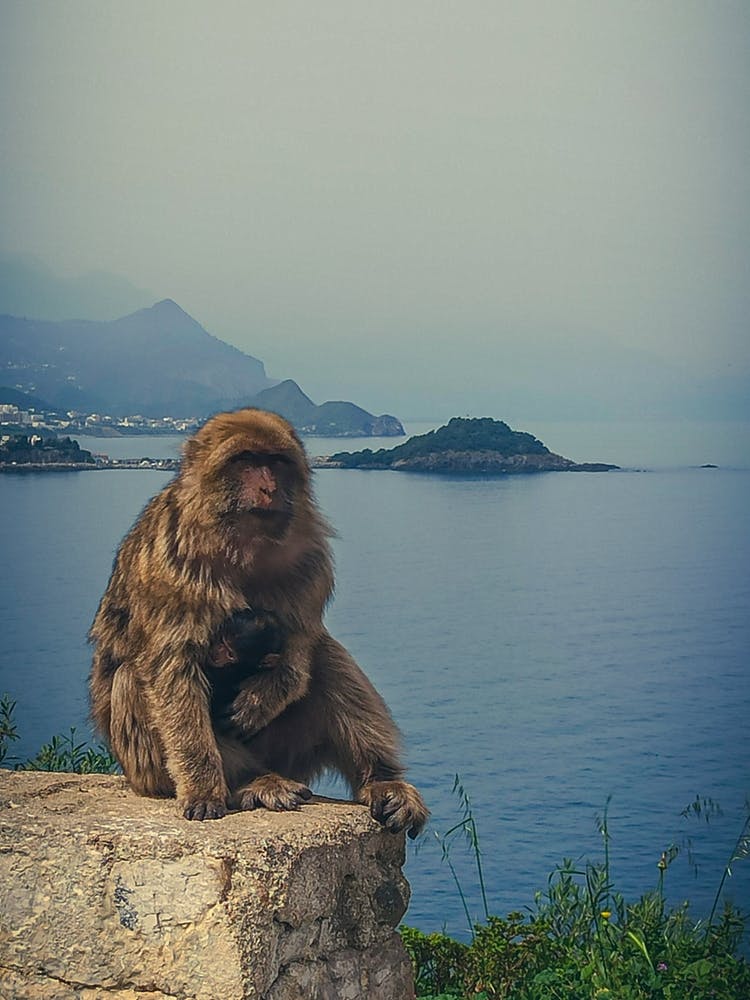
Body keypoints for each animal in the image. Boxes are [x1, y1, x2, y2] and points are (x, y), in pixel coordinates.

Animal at [89, 406, 428, 837]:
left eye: (276, 462)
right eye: (246, 460)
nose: (267, 487)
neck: (240, 546)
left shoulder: (311, 556)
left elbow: (302, 643)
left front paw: (263, 696)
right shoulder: (173, 560)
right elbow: (172, 670)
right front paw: (203, 787)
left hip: (289, 750)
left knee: (327, 658)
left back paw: (382, 782)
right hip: (147, 769)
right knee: (133, 679)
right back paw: (251, 781)